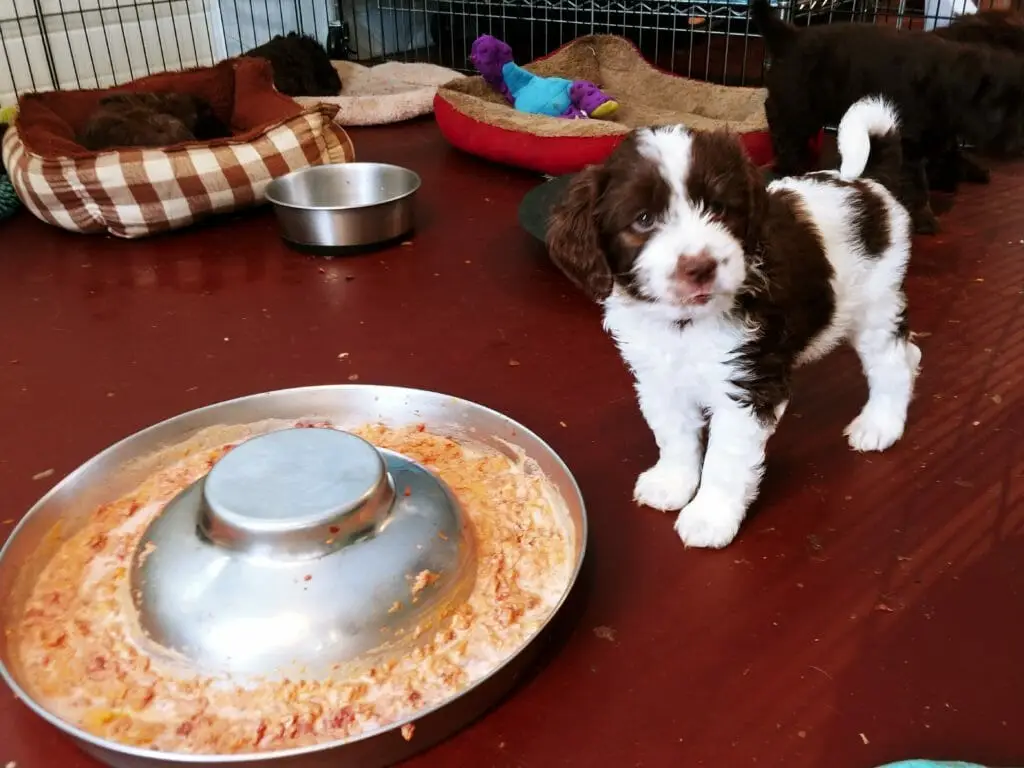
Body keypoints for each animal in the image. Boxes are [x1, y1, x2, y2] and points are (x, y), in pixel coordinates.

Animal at [548, 99, 925, 548]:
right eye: (643, 220)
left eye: (718, 208)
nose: (700, 267)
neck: (685, 323)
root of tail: (869, 186)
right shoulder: (659, 379)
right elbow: (674, 435)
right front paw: (672, 483)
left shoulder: (747, 385)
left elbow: (725, 460)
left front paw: (710, 516)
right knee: (909, 353)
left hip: (874, 304)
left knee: (892, 362)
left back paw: (880, 425)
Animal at [749, 0, 1024, 234]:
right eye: (996, 112)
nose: (1017, 149)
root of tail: (790, 35)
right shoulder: (910, 143)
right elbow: (917, 182)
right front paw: (924, 216)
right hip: (796, 103)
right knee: (784, 130)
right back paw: (790, 164)